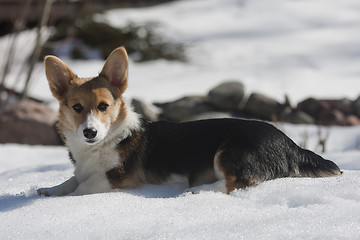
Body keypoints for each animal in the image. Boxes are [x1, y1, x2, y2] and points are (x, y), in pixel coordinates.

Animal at [37, 47, 344, 197]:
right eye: (77, 107)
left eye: (103, 106)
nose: (89, 132)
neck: (105, 142)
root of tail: (291, 144)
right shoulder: (83, 170)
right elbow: (70, 181)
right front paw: (48, 190)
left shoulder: (118, 177)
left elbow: (82, 187)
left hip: (230, 151)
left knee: (238, 183)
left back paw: (196, 191)